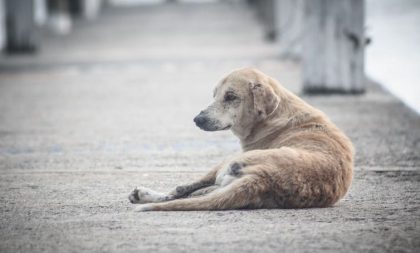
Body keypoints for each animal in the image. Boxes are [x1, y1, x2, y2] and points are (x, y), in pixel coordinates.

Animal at [129, 67, 354, 211]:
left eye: (230, 97)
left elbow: (184, 188)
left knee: (180, 191)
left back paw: (145, 195)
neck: (275, 114)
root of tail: (263, 178)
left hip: (228, 162)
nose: (197, 119)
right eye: (214, 95)